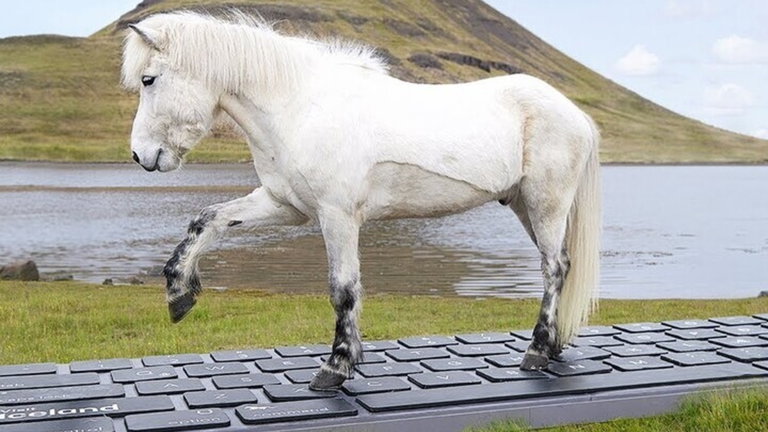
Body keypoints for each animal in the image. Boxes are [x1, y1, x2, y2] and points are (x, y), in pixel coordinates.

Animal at [122, 11, 601, 390]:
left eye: (149, 79)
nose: (140, 156)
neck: (299, 108)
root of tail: (575, 113)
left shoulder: (337, 216)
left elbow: (343, 288)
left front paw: (336, 366)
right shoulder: (285, 206)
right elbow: (207, 220)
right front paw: (179, 294)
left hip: (546, 204)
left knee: (553, 269)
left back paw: (537, 351)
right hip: (524, 206)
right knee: (561, 264)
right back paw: (554, 346)